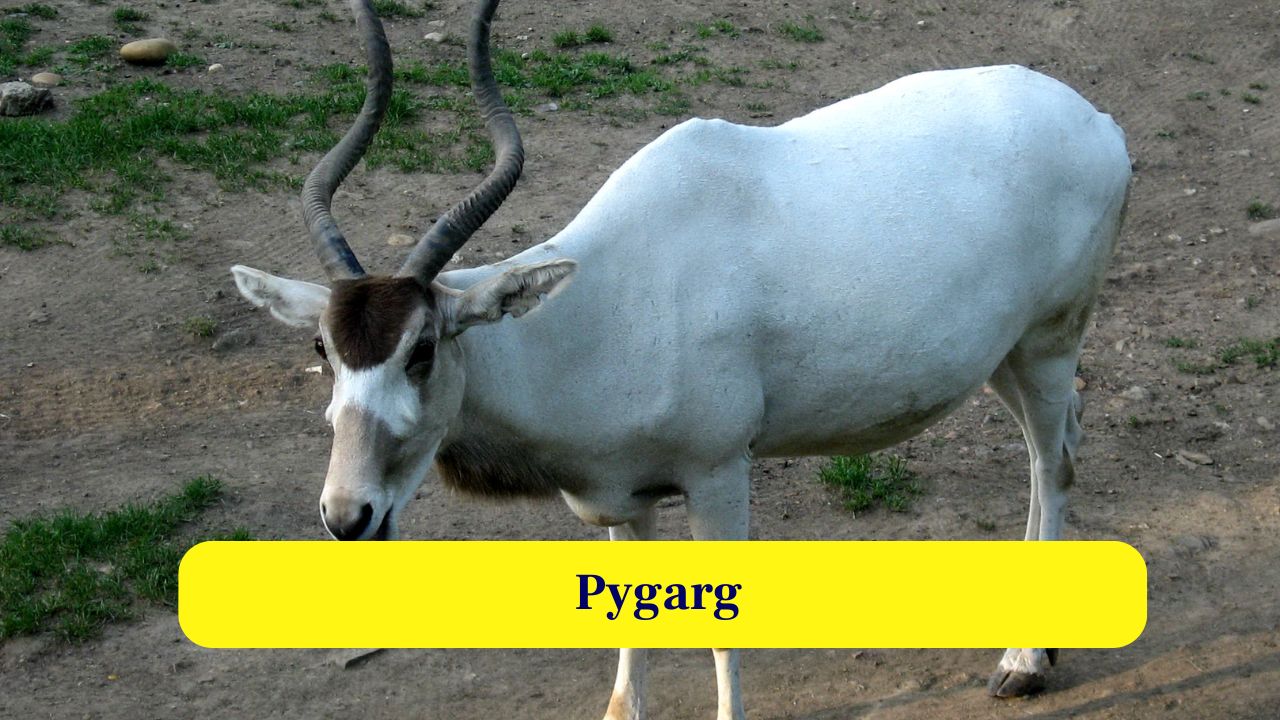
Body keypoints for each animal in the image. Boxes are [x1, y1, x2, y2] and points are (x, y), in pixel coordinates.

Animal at [230, 0, 1131, 716]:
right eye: (324, 347)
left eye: (422, 349)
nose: (348, 516)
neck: (598, 308)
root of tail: (1102, 125)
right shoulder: (625, 497)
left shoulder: (719, 472)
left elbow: (723, 635)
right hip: (1002, 356)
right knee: (1051, 444)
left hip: (1050, 340)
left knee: (1053, 463)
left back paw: (1025, 662)